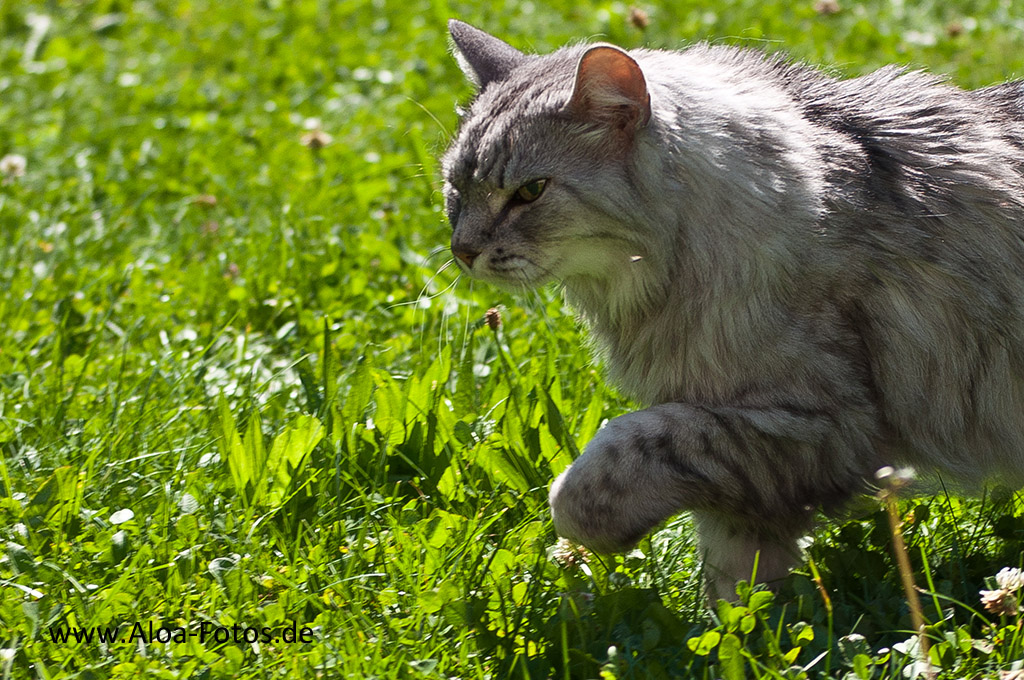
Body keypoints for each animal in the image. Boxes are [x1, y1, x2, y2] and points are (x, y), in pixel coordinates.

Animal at [438, 18, 1024, 598]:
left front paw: (588, 520)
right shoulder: (743, 442)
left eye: (530, 192)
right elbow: (741, 581)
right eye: (456, 189)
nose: (462, 251)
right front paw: (753, 621)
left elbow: (620, 454)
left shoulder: (820, 425)